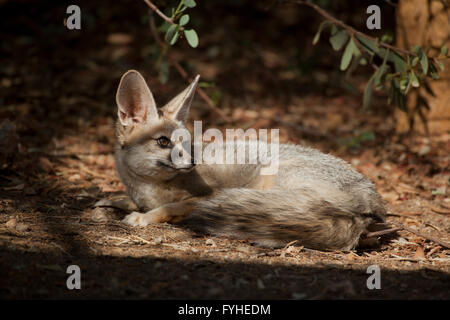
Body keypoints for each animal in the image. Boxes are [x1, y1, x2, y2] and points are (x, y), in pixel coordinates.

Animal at [97, 70, 386, 252]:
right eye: (163, 142)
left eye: (187, 143)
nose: (193, 162)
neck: (147, 187)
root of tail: (368, 196)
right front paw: (112, 201)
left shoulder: (205, 196)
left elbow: (169, 207)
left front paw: (144, 217)